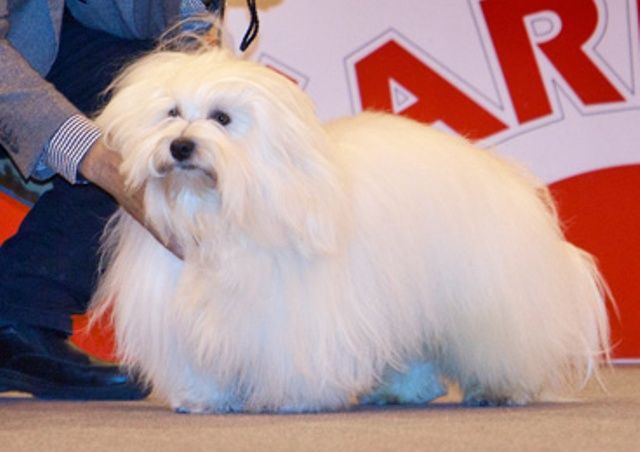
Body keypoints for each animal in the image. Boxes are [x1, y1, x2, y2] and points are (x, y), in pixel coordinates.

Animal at [90, 46, 608, 414]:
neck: (223, 208)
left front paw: (292, 399)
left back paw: (502, 389)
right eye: (172, 113)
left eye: (221, 118)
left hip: (487, 300)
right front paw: (205, 399)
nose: (180, 147)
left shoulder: (293, 311)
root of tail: (505, 176)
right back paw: (403, 392)